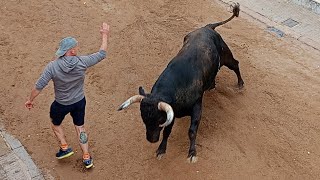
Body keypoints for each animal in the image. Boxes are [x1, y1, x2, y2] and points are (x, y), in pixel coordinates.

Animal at [117, 3, 242, 163]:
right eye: (143, 119)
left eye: (159, 120)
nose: (151, 140)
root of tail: (207, 27)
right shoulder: (172, 112)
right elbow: (167, 132)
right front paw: (161, 150)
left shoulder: (196, 107)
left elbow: (192, 131)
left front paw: (192, 153)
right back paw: (212, 86)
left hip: (226, 55)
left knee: (235, 64)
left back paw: (240, 84)